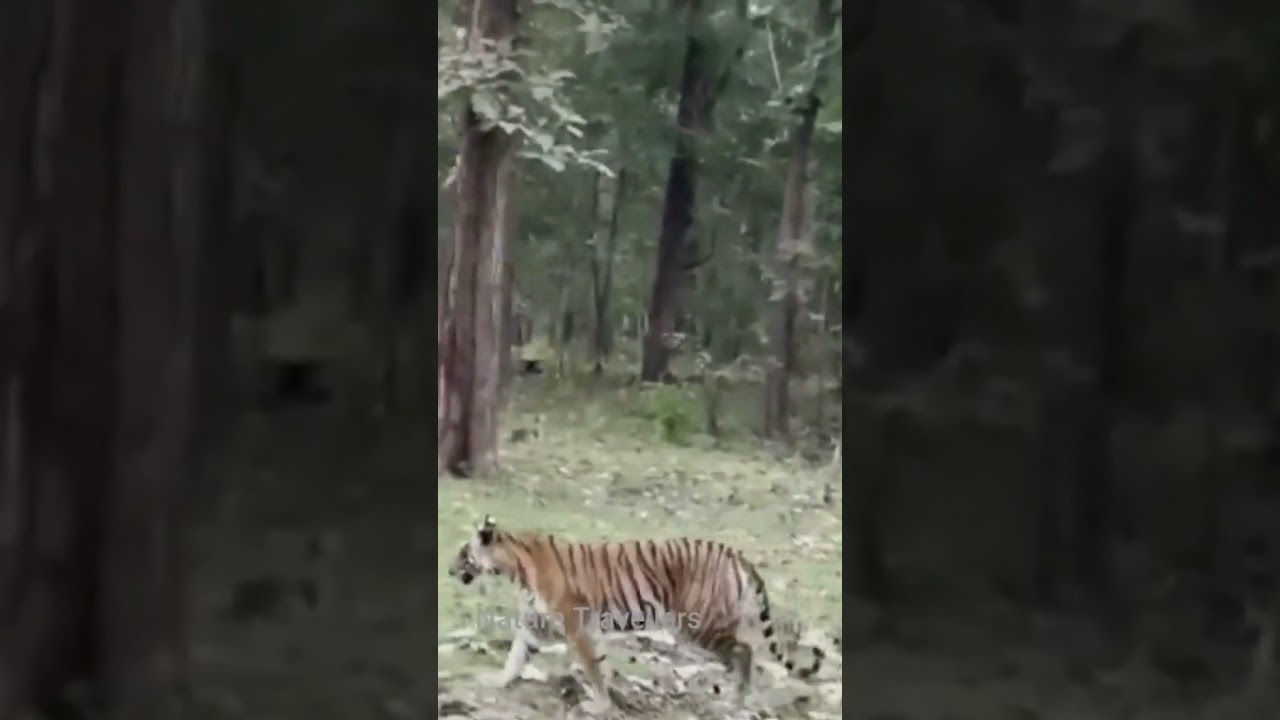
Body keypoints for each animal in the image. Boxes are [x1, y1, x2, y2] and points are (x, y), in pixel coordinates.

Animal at [447, 514, 827, 714]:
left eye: (464, 553)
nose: (450, 571)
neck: (515, 569)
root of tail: (732, 552)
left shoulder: (576, 626)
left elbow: (592, 667)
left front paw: (599, 705)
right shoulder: (537, 625)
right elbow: (517, 655)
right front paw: (497, 681)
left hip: (697, 626)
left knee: (744, 651)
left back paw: (738, 699)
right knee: (745, 652)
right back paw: (740, 698)